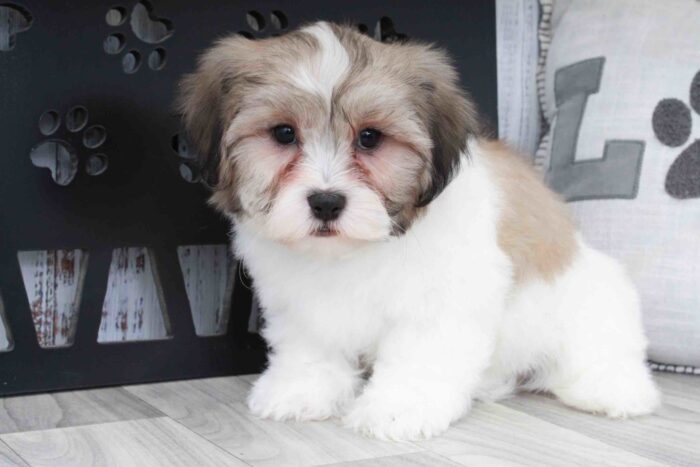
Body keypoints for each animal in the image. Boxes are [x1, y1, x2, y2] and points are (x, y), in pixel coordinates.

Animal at [178, 22, 660, 442]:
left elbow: (420, 355)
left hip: (591, 300)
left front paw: (399, 408)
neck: (356, 251)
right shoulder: (300, 301)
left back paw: (614, 390)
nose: (326, 201)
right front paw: (301, 389)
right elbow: (310, 343)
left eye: (370, 138)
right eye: (283, 133)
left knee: (601, 347)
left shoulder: (442, 297)